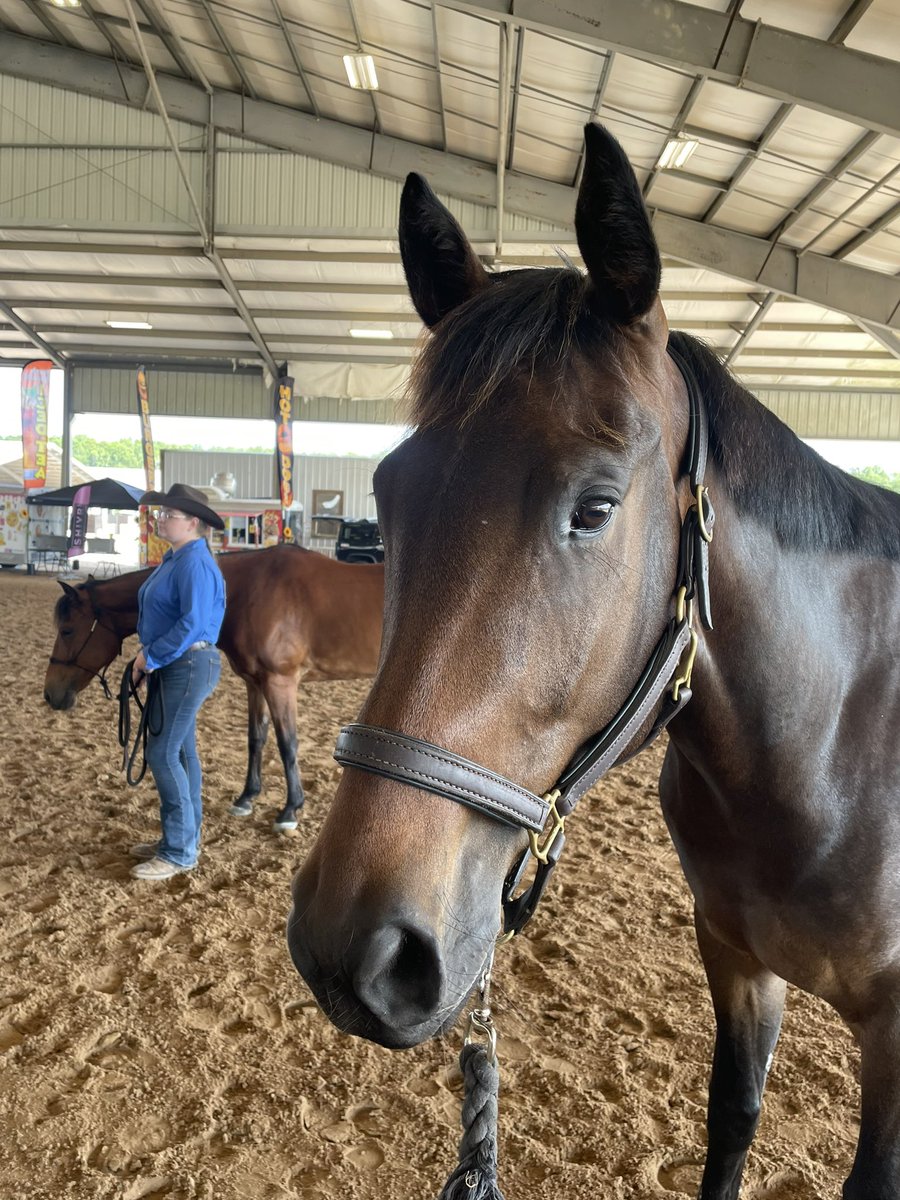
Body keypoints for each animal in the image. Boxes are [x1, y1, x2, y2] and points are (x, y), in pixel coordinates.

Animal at [44, 544, 384, 829]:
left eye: (68, 630)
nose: (51, 694)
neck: (251, 591)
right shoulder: (255, 684)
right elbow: (256, 739)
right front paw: (247, 798)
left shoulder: (280, 682)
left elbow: (287, 744)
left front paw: (290, 810)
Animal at [287, 122, 900, 1199]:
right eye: (389, 493)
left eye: (598, 507)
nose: (352, 946)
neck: (832, 748)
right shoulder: (736, 958)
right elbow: (732, 1122)